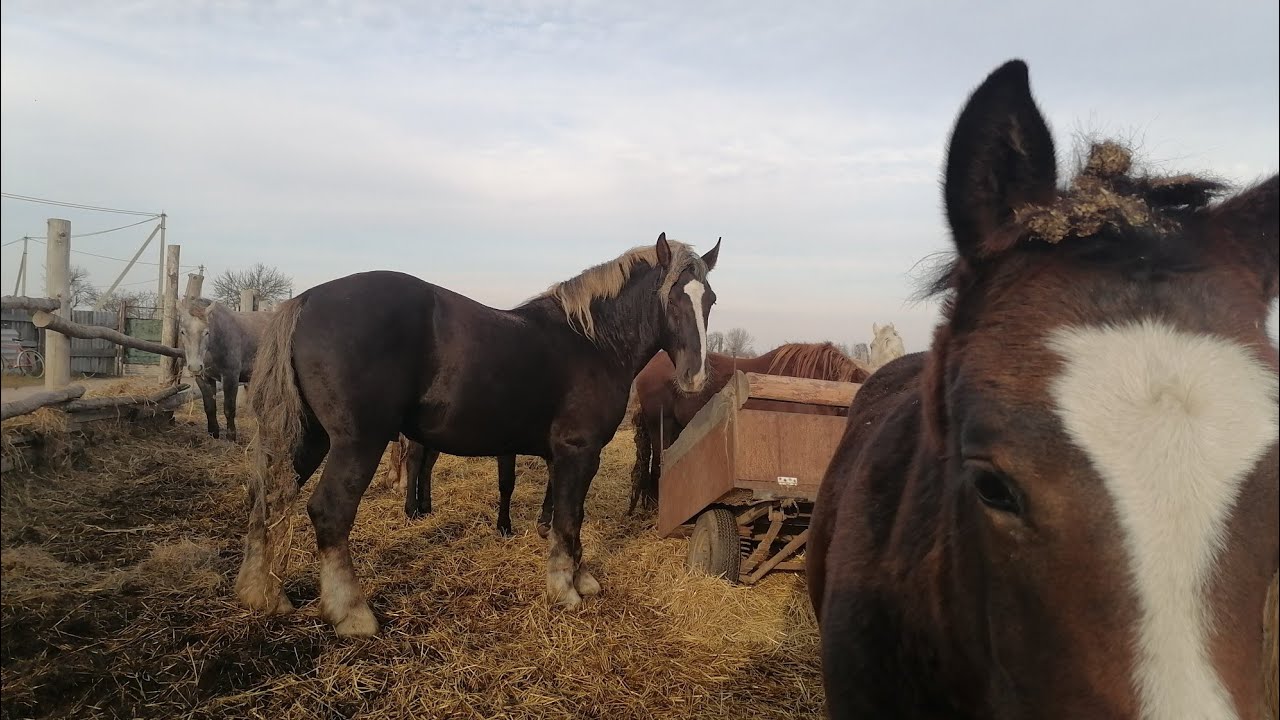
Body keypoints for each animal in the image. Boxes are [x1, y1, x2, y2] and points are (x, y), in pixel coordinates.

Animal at [178, 298, 273, 441]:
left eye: (207, 332)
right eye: (183, 331)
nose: (195, 367)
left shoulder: (231, 377)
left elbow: (229, 408)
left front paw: (231, 437)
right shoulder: (205, 378)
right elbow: (210, 407)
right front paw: (213, 433)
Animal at [236, 233, 721, 636]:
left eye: (710, 299)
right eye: (671, 297)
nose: (695, 377)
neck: (593, 342)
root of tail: (305, 300)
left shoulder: (560, 457)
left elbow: (566, 518)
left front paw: (580, 578)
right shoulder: (578, 452)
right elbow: (569, 518)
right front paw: (565, 590)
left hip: (310, 438)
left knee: (268, 498)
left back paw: (264, 596)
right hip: (358, 442)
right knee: (329, 512)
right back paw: (353, 614)